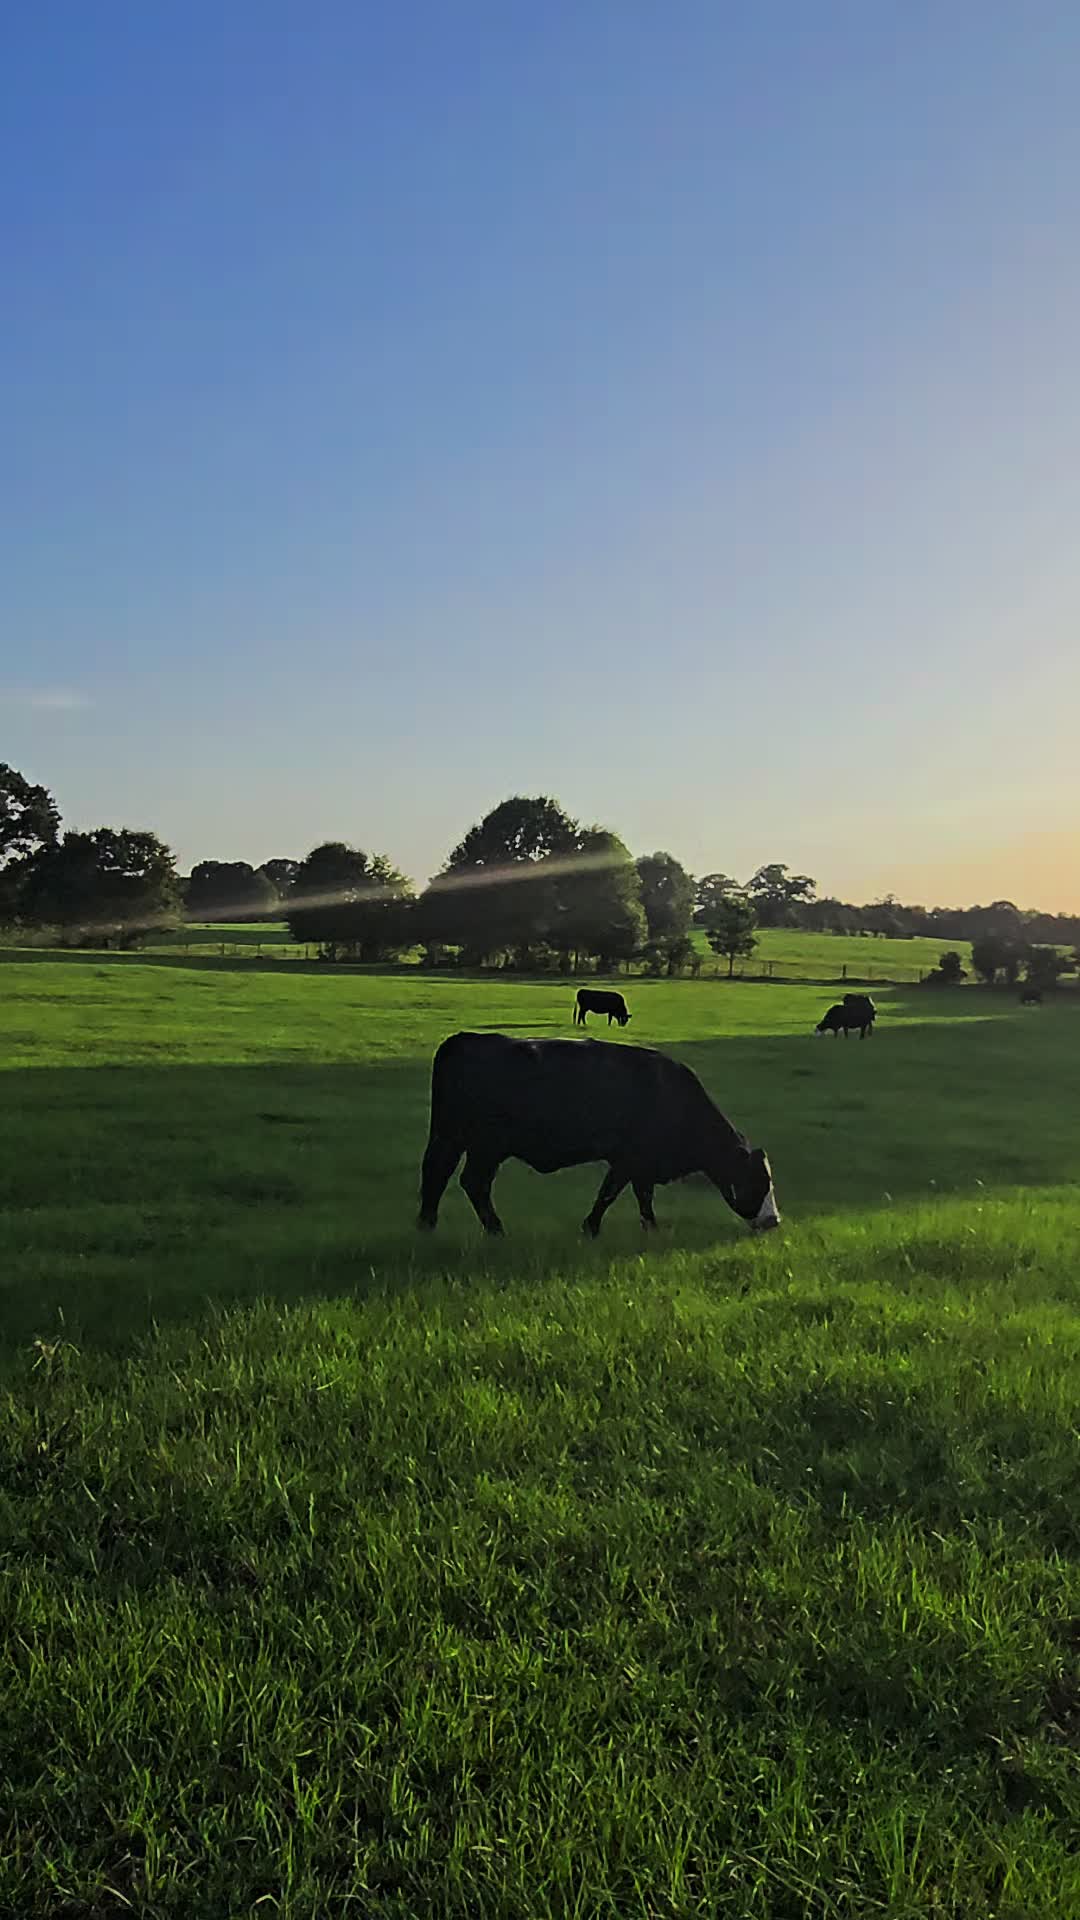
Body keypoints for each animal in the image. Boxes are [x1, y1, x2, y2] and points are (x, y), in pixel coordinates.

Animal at [417, 1031, 779, 1239]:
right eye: (758, 1181)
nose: (773, 1221)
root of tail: (464, 1039)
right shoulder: (628, 1158)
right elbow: (610, 1193)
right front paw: (591, 1227)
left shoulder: (642, 1164)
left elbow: (642, 1196)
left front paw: (651, 1227)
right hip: (486, 1146)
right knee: (473, 1182)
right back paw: (495, 1230)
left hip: (450, 1138)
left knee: (437, 1174)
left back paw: (427, 1224)